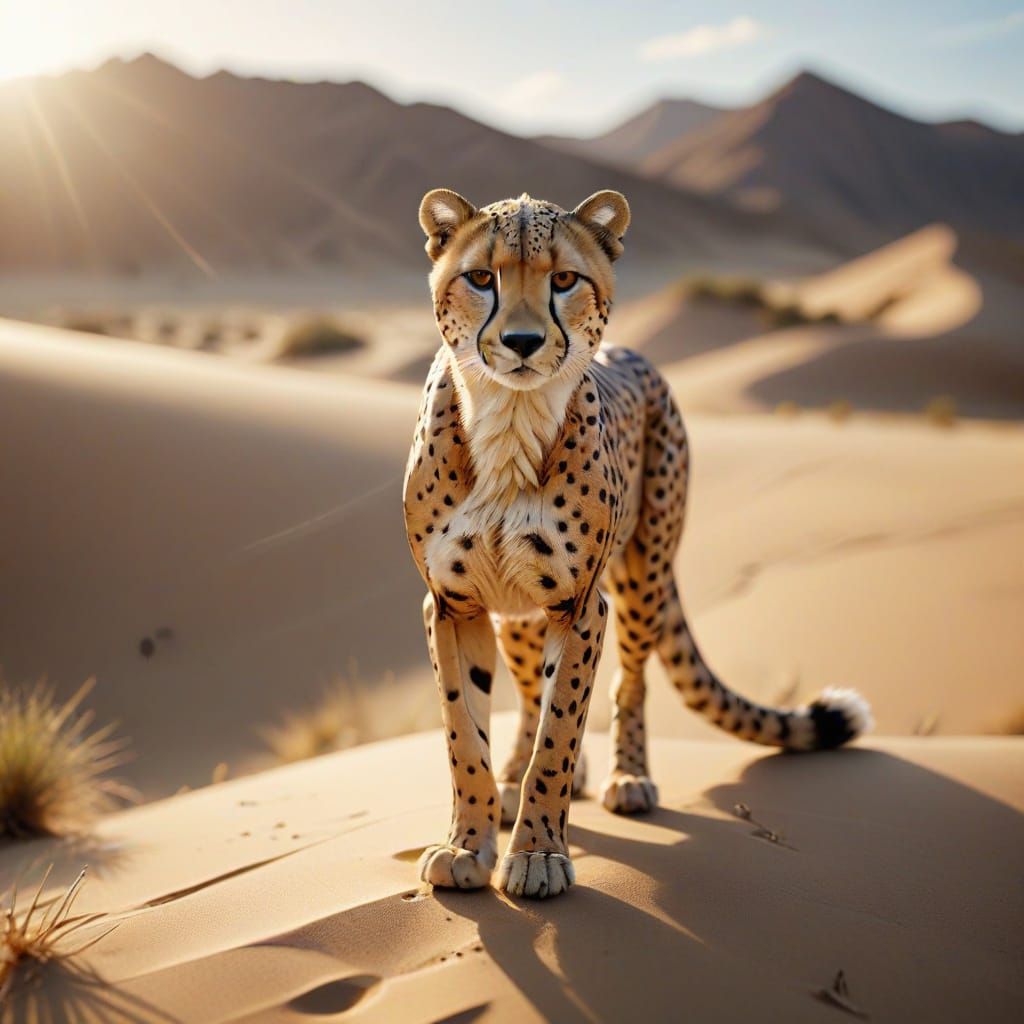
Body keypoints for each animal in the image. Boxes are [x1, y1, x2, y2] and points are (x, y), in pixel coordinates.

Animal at [403, 187, 872, 899]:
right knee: (529, 692)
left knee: (630, 683)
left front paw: (537, 853)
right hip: (518, 614)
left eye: (564, 280)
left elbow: (561, 729)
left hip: (641, 573)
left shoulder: (580, 605)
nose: (521, 341)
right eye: (481, 277)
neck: (509, 426)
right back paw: (515, 782)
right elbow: (465, 731)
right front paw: (466, 842)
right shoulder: (453, 604)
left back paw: (627, 777)